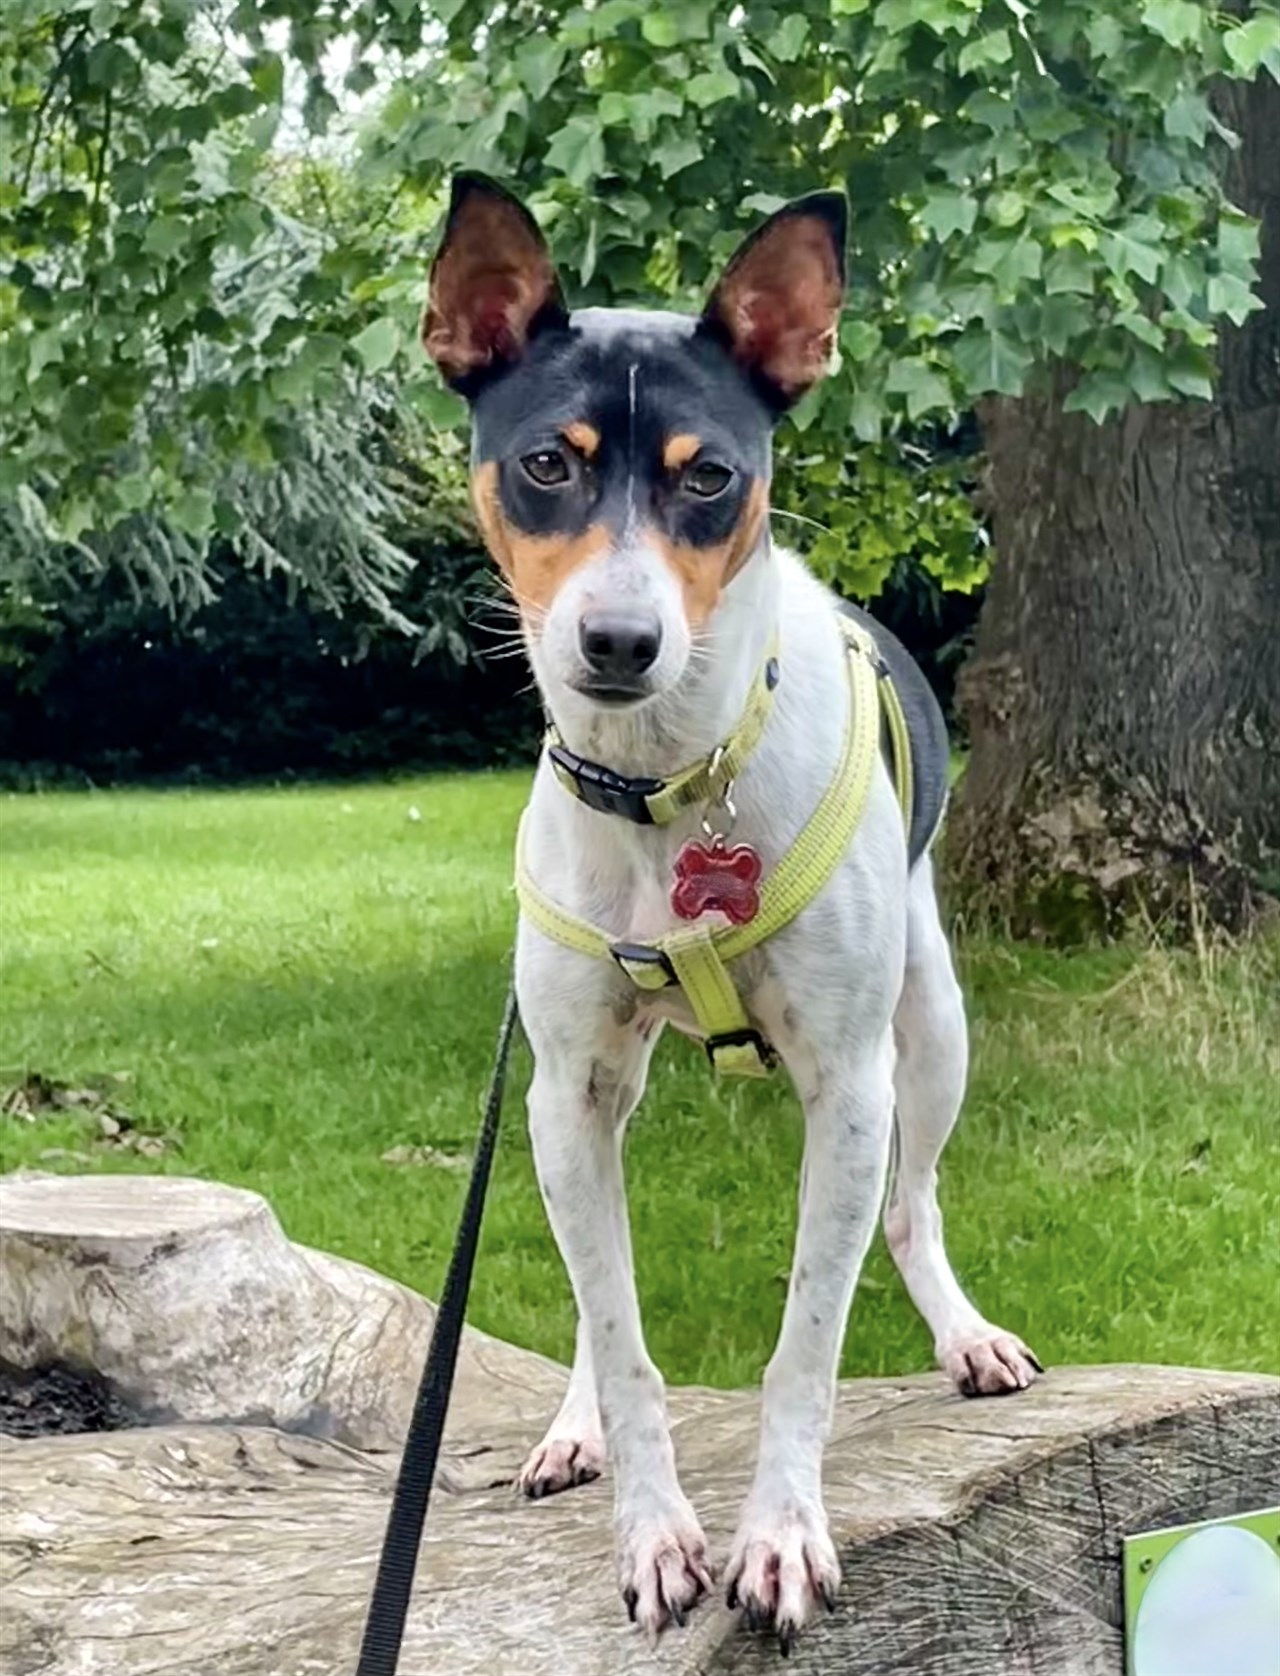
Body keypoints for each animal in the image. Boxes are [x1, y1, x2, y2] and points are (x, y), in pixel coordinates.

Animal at [420, 173, 1038, 1649]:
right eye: (547, 464)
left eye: (709, 476)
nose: (619, 642)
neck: (672, 791)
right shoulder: (569, 1086)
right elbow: (622, 1336)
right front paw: (650, 1528)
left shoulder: (850, 1090)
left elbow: (804, 1347)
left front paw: (782, 1534)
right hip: (572, 1107)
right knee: (592, 1288)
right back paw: (573, 1420)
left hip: (934, 1026)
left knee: (912, 1210)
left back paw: (964, 1334)